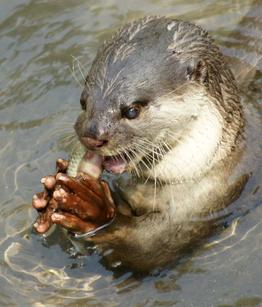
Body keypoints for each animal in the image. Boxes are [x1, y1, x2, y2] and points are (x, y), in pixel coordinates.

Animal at [32, 16, 248, 272]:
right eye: (83, 101)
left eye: (132, 110)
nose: (91, 136)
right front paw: (49, 193)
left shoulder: (206, 202)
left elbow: (146, 249)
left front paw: (91, 211)